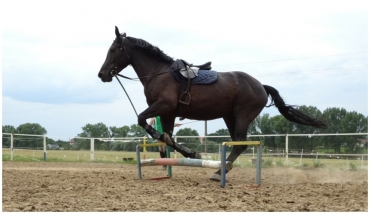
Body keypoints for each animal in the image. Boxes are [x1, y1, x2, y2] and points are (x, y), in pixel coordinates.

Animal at [97, 26, 326, 181]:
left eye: (113, 50)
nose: (102, 74)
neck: (159, 73)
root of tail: (261, 85)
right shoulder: (168, 113)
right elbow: (167, 137)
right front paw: (190, 153)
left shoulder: (164, 106)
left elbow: (143, 120)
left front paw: (191, 153)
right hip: (229, 116)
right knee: (238, 143)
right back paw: (221, 169)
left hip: (242, 115)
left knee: (241, 143)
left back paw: (218, 172)